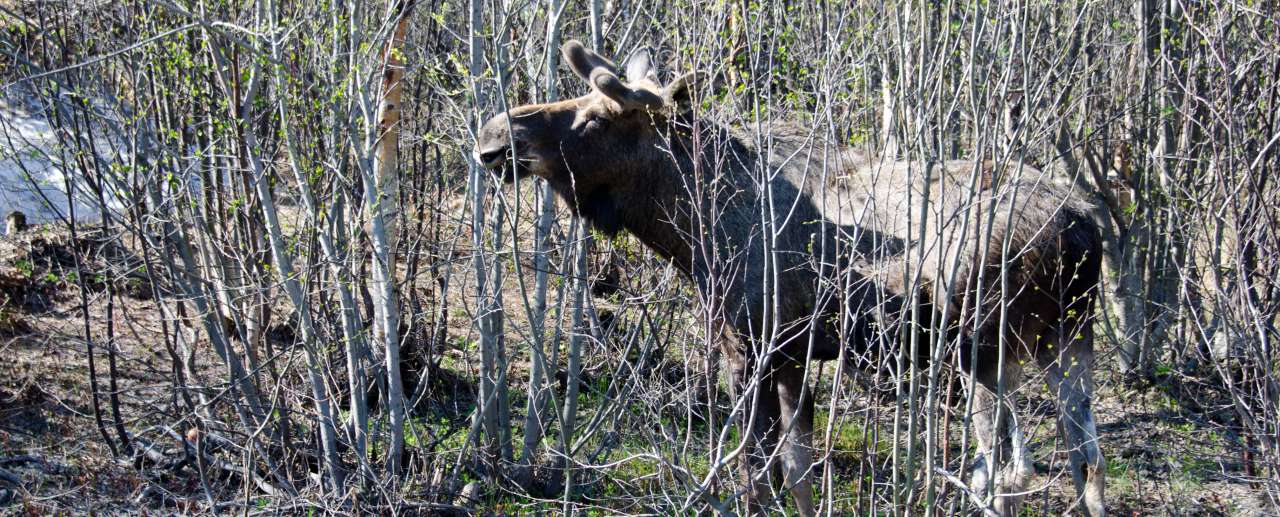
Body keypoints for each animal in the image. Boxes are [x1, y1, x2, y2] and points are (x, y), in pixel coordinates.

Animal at [476, 41, 1105, 517]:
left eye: (597, 117)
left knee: (1007, 470)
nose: (492, 135)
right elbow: (799, 473)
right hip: (1070, 337)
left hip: (984, 347)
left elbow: (756, 478)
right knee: (1086, 459)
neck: (693, 226)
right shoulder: (793, 355)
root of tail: (1084, 228)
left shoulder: (750, 348)